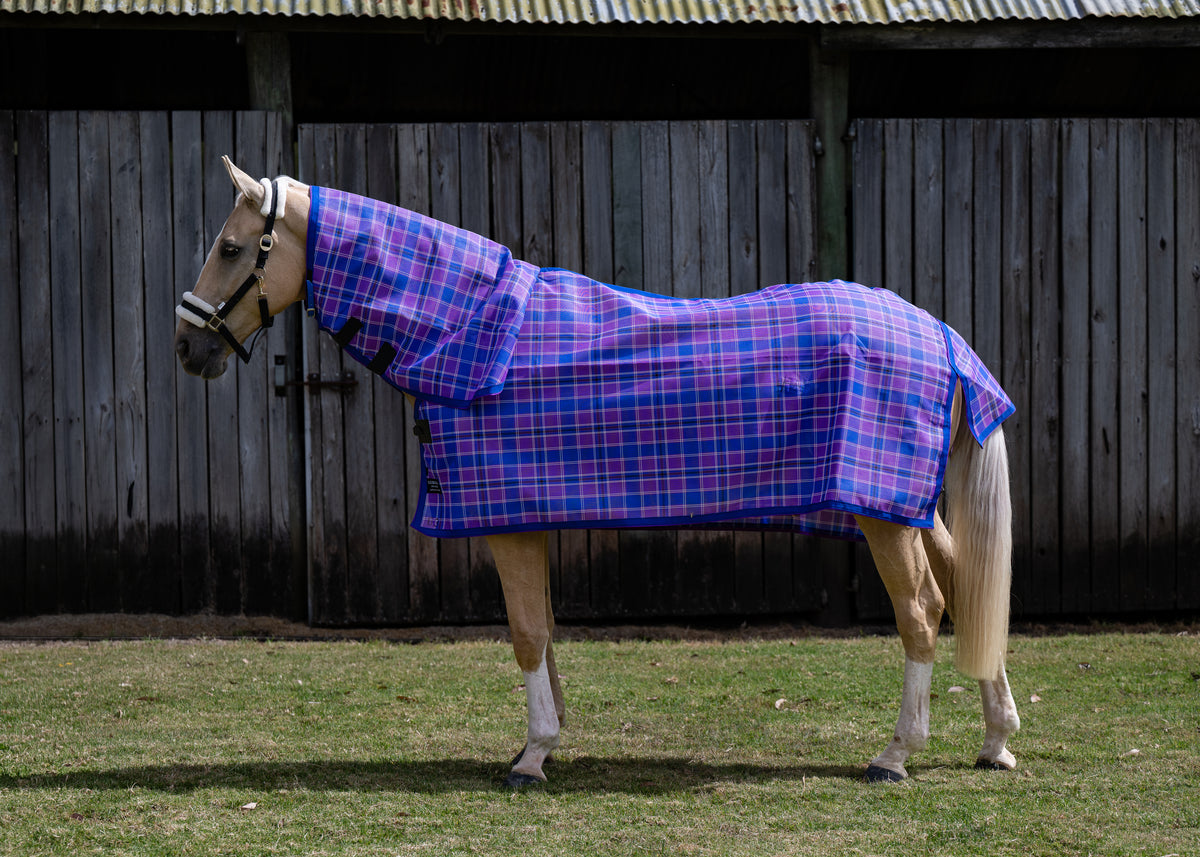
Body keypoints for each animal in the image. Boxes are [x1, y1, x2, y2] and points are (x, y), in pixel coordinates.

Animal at [174, 156, 1020, 787]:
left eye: (230, 247)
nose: (190, 348)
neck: (474, 337)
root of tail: (935, 330)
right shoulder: (531, 518)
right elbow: (545, 630)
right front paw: (544, 739)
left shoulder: (506, 522)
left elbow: (524, 633)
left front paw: (532, 757)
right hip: (907, 506)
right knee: (968, 587)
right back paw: (997, 738)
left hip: (883, 513)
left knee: (922, 612)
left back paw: (896, 753)